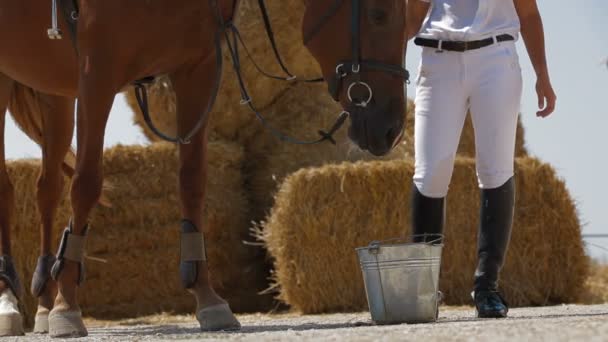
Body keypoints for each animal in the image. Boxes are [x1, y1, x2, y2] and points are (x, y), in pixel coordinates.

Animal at [0, 0, 408, 336]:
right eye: (378, 14)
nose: (391, 128)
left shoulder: (196, 68)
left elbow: (193, 181)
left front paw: (207, 296)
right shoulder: (97, 72)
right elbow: (87, 184)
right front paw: (68, 305)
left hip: (54, 91)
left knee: (46, 188)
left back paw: (42, 303)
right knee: (12, 187)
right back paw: (11, 300)